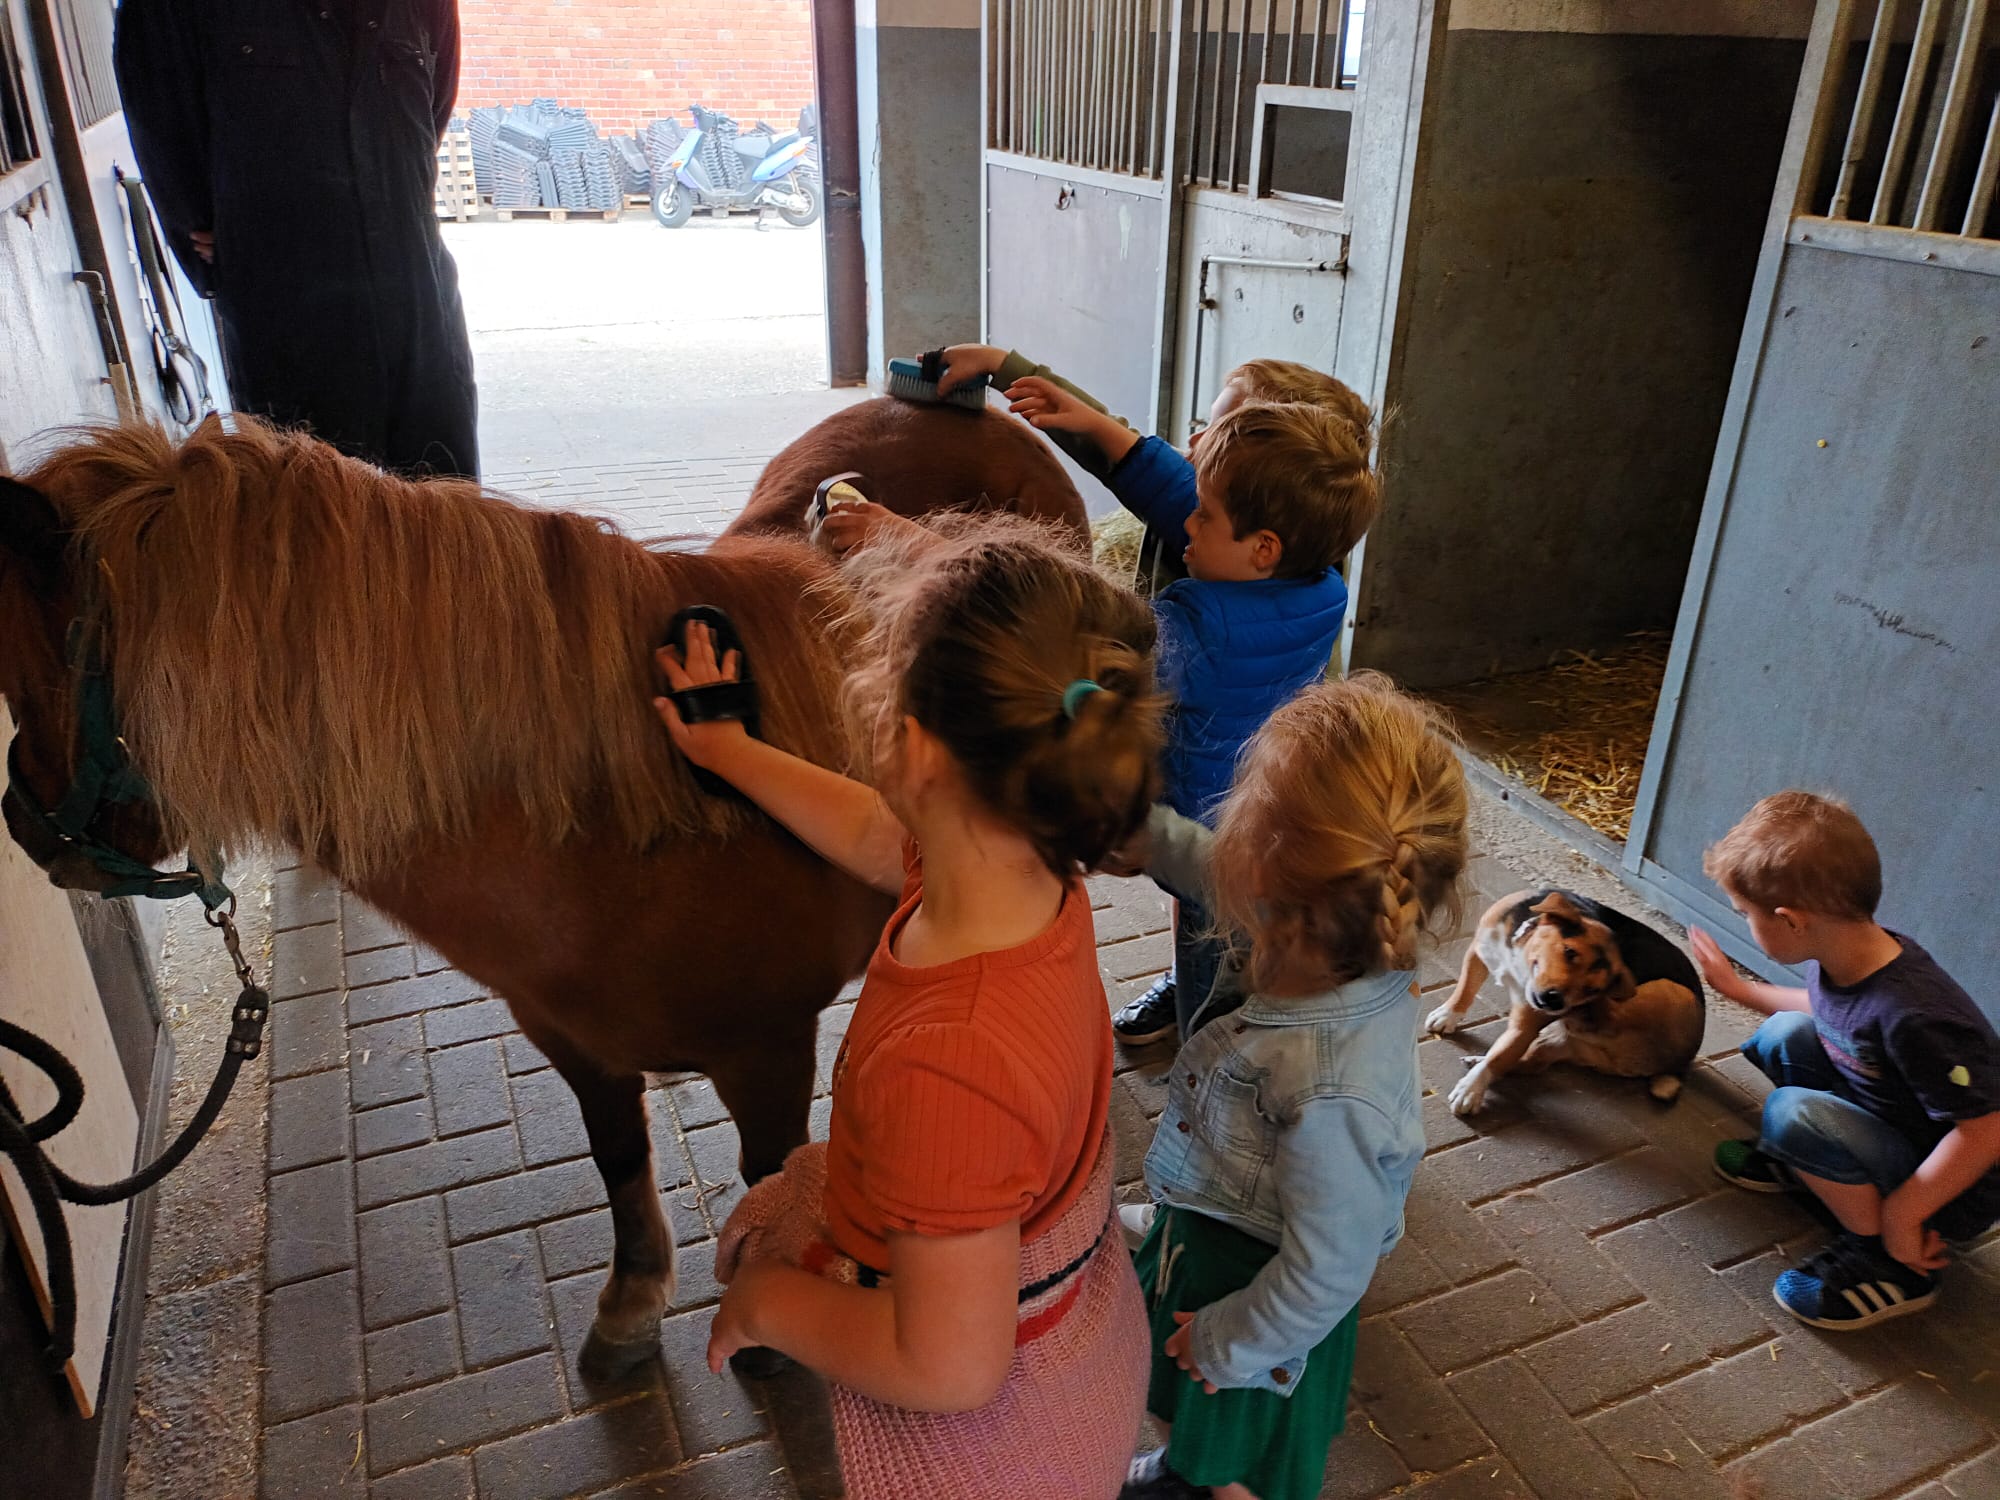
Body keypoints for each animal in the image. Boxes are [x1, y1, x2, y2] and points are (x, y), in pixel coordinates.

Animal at [0, 406, 1088, 1384]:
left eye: (24, 673)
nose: (27, 824)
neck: (633, 824)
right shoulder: (575, 1045)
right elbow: (617, 1161)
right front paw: (632, 1303)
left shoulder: (767, 1052)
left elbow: (767, 1180)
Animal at [1424, 892, 1704, 1120]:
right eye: (1570, 952)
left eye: (1592, 989)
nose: (1555, 1000)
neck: (1520, 961)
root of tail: (1681, 1064)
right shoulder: (1479, 950)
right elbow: (1465, 988)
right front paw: (1448, 1015)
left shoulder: (1524, 1027)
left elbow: (1498, 1058)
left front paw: (1471, 1089)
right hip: (1561, 1042)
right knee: (1532, 1063)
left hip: (1669, 993)